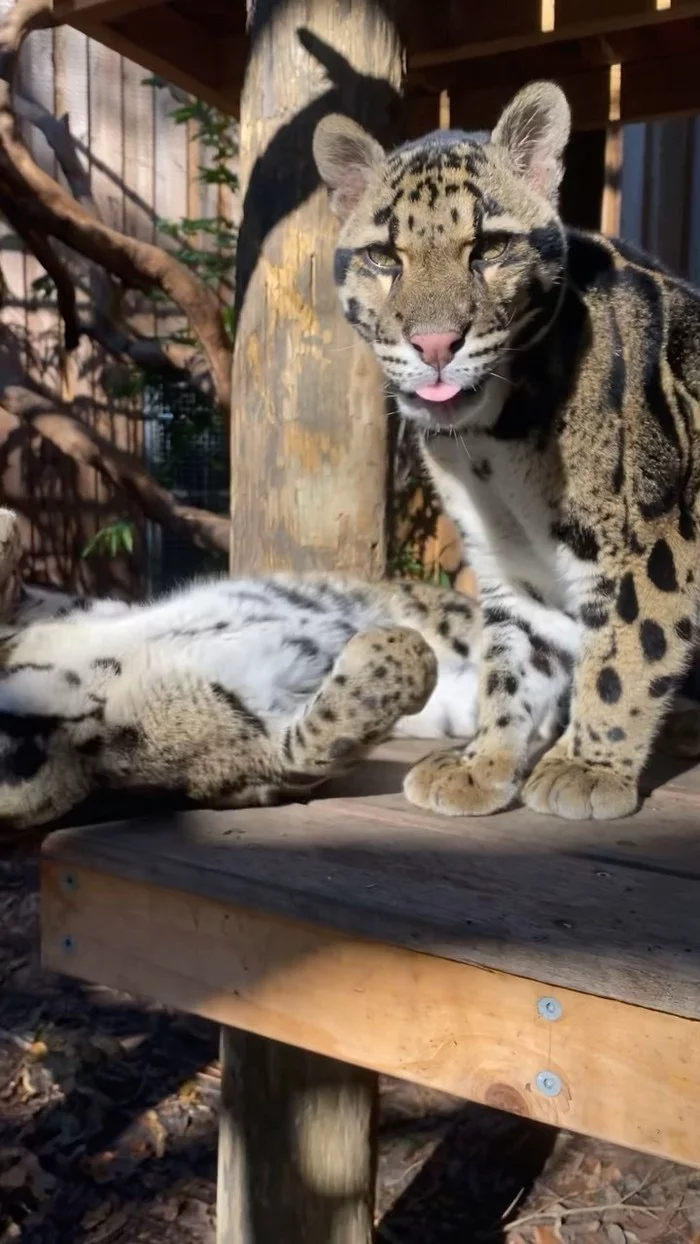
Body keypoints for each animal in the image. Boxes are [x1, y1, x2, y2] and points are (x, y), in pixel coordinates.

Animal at [314, 75, 700, 816]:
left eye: (488, 248)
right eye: (383, 257)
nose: (435, 344)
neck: (489, 445)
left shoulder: (661, 537)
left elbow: (629, 648)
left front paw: (587, 765)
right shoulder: (514, 564)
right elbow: (512, 664)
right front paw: (484, 762)